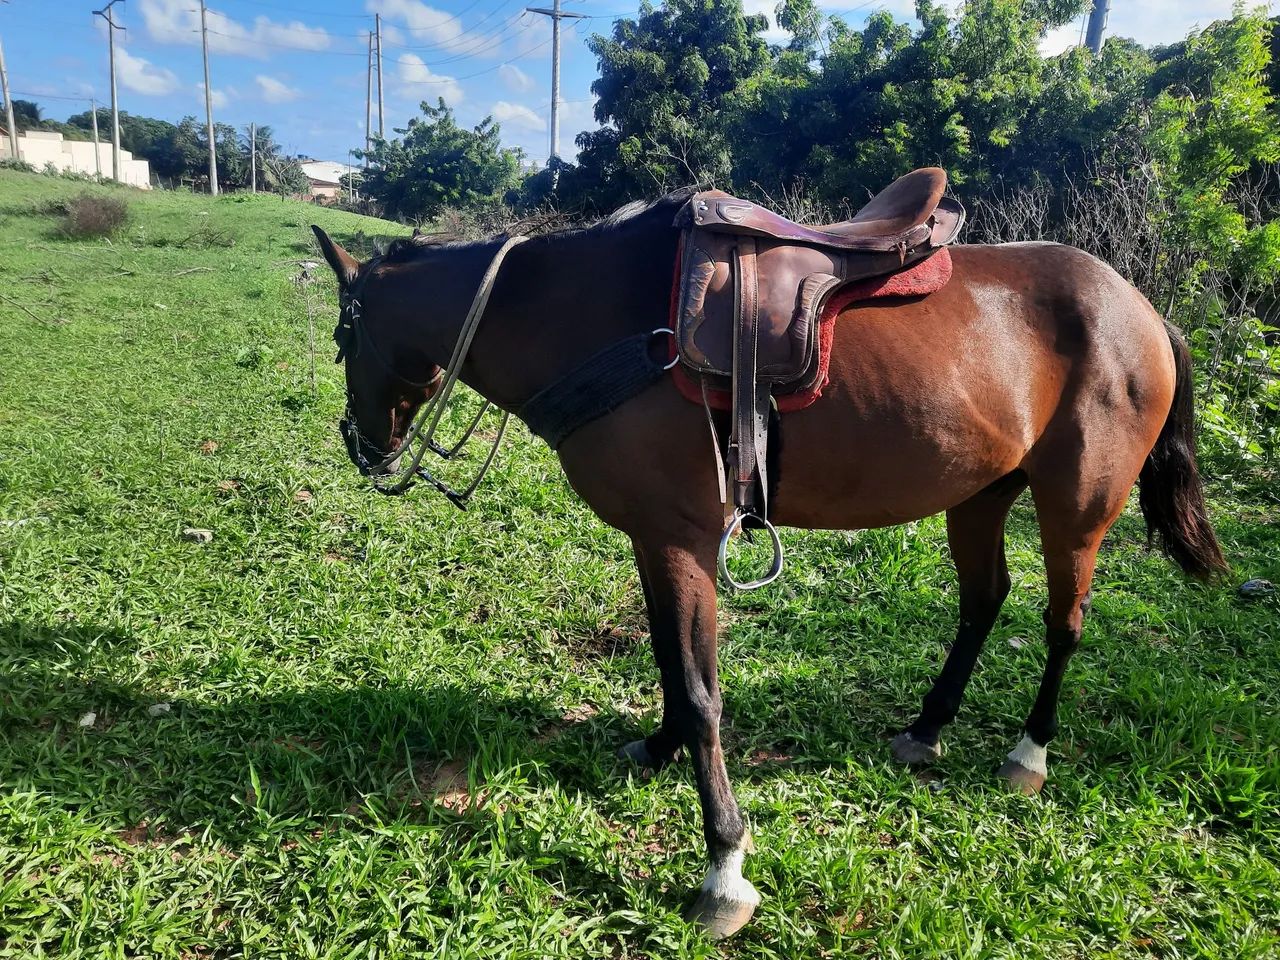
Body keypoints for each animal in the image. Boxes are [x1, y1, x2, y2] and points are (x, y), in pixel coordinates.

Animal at [309, 189, 1226, 940]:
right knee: (983, 600)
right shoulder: (655, 538)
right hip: (982, 491)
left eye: (343, 335)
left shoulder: (679, 536)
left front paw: (723, 864)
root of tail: (1143, 310)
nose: (363, 446)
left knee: (1063, 622)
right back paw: (928, 726)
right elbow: (673, 666)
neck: (601, 317)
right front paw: (659, 748)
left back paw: (1029, 752)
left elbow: (702, 692)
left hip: (1078, 506)